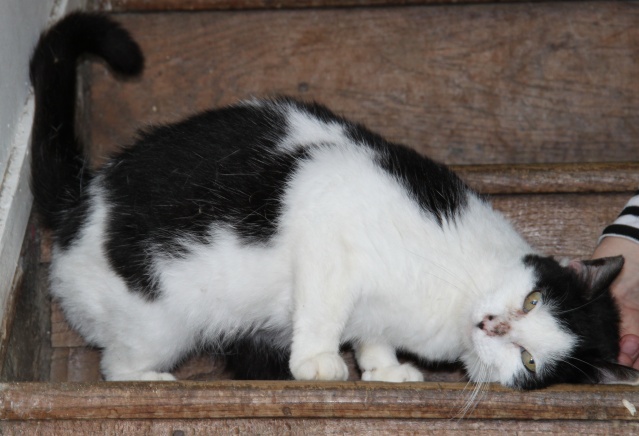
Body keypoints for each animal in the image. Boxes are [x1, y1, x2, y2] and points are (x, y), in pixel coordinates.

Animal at [28, 12, 639, 388]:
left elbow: (372, 331)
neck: (457, 298)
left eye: (529, 360)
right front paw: (317, 361)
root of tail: (81, 200)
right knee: (116, 365)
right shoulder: (326, 202)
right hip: (159, 322)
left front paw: (383, 369)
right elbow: (325, 306)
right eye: (532, 300)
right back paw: (152, 378)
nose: (492, 327)